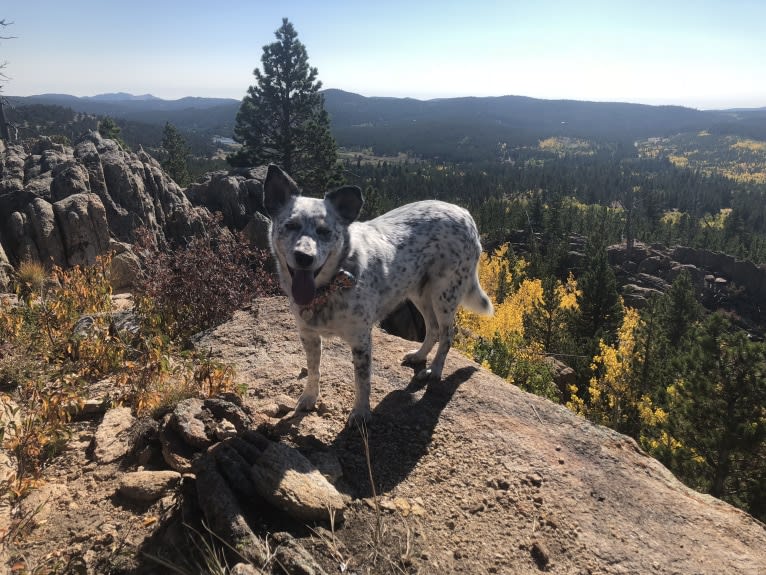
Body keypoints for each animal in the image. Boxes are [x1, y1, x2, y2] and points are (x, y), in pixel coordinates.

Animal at [262, 164, 492, 426]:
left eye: (324, 231)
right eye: (291, 226)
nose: (304, 257)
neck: (329, 287)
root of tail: (465, 213)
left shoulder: (361, 340)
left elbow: (362, 381)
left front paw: (361, 413)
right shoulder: (308, 335)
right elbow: (314, 370)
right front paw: (309, 398)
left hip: (444, 294)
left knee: (447, 334)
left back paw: (435, 369)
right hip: (418, 292)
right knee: (432, 328)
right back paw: (418, 355)